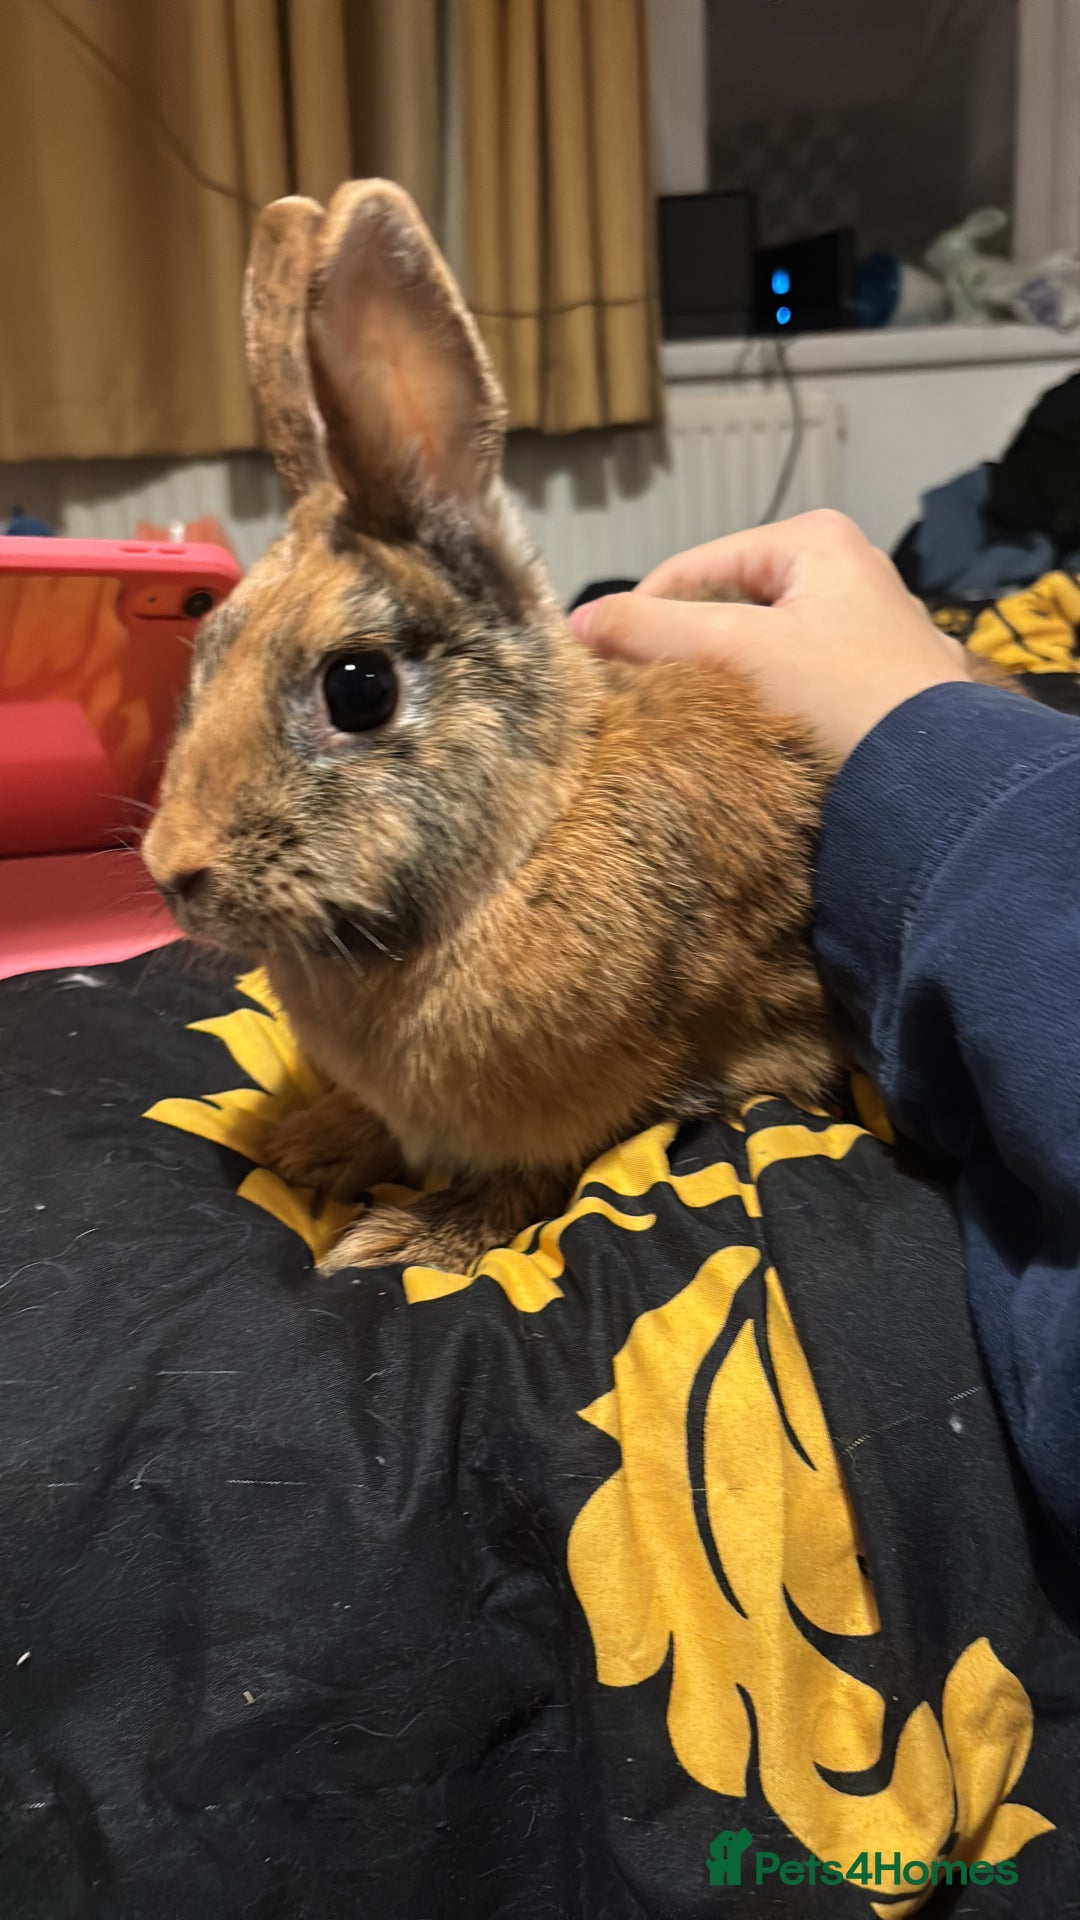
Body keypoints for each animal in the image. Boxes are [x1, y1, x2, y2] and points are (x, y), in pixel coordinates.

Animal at [141, 178, 845, 1276]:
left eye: (358, 689)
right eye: (204, 655)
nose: (173, 872)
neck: (516, 857)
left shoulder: (602, 1102)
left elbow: (534, 1180)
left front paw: (405, 1238)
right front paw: (315, 1145)